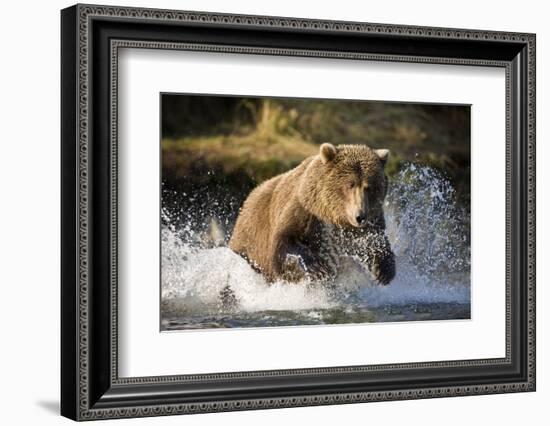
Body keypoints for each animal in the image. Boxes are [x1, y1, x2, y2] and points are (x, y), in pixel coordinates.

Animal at [229, 143, 396, 286]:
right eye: (350, 184)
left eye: (369, 187)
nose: (360, 216)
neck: (331, 215)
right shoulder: (304, 211)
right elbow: (283, 243)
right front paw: (318, 267)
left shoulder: (371, 223)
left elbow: (376, 243)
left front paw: (383, 271)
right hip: (249, 241)